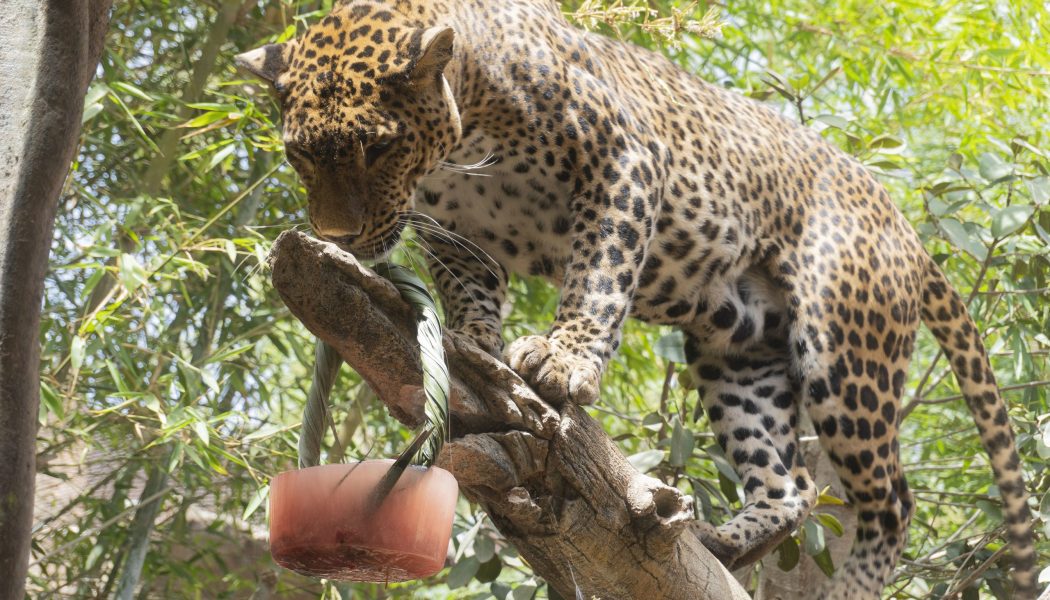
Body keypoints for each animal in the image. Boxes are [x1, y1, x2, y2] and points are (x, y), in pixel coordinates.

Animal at [234, 1, 1037, 596]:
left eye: (376, 147)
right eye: (299, 152)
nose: (338, 234)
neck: (464, 133)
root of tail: (903, 223)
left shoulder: (622, 158)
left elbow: (601, 270)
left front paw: (564, 360)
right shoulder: (457, 232)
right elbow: (470, 291)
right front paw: (474, 344)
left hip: (843, 351)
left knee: (890, 501)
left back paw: (853, 586)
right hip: (737, 352)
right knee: (793, 483)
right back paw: (718, 540)